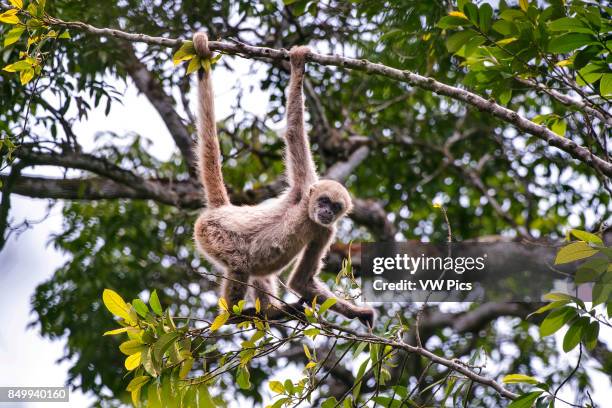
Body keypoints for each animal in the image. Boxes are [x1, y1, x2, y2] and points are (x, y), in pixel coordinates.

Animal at [191, 31, 376, 326]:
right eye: (323, 201)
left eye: (335, 207)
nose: (326, 211)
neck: (307, 213)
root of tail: (223, 210)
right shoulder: (303, 186)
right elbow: (293, 132)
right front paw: (298, 66)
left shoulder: (326, 230)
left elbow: (301, 282)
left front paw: (359, 313)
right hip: (211, 232)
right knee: (240, 263)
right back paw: (232, 316)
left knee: (259, 272)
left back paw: (271, 312)